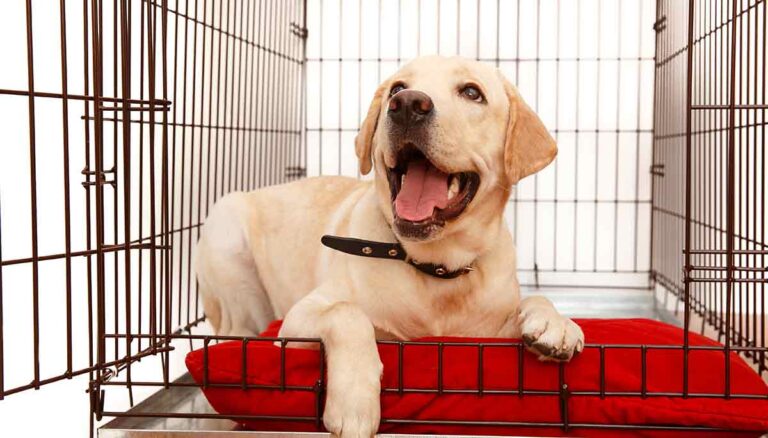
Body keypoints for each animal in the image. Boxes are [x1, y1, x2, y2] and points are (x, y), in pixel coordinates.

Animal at [195, 54, 584, 438]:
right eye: (397, 88)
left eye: (472, 93)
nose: (408, 104)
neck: (435, 267)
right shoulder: (297, 319)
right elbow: (347, 313)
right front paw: (354, 401)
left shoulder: (482, 337)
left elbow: (533, 301)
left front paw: (555, 323)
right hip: (227, 236)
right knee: (237, 334)